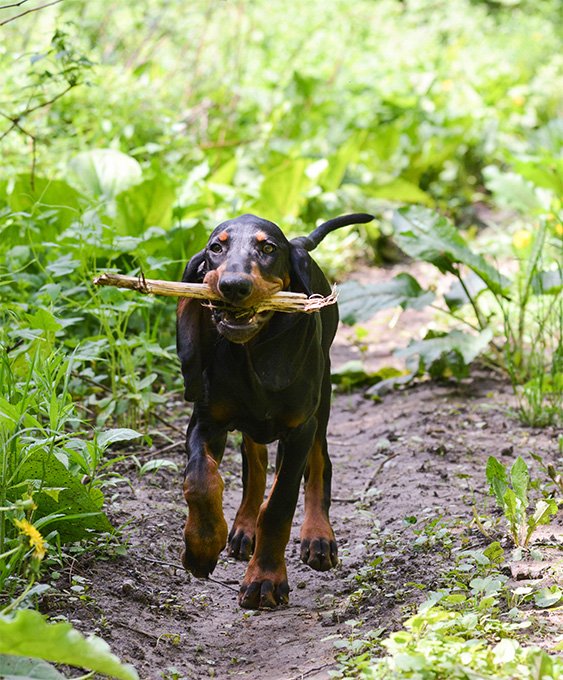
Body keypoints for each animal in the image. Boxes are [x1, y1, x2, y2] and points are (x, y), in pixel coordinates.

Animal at [177, 211, 374, 604]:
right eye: (215, 248)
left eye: (268, 249)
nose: (234, 286)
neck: (249, 353)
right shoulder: (206, 422)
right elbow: (200, 480)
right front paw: (202, 546)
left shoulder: (299, 429)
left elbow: (280, 504)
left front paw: (265, 578)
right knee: (255, 464)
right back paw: (242, 529)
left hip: (320, 403)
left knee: (319, 462)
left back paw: (318, 537)